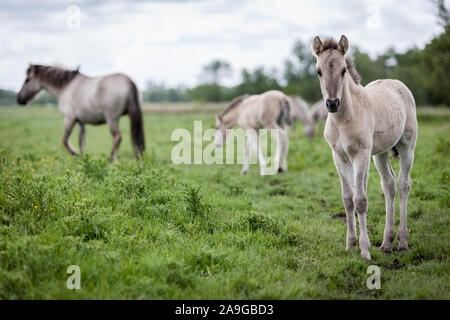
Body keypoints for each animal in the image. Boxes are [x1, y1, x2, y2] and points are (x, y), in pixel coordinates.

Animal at [16, 64, 144, 160]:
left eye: (27, 80)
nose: (19, 99)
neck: (66, 87)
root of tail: (127, 80)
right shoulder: (81, 122)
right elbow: (81, 142)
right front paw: (83, 159)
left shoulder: (69, 119)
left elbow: (65, 140)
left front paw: (75, 154)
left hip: (112, 119)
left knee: (117, 138)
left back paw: (112, 159)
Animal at [312, 35, 418, 260]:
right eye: (318, 71)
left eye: (344, 70)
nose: (332, 103)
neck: (342, 119)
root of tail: (396, 82)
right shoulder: (339, 157)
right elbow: (347, 199)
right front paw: (350, 244)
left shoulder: (360, 154)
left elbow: (360, 199)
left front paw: (364, 250)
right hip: (380, 153)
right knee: (389, 185)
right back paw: (386, 243)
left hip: (407, 147)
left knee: (403, 184)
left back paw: (402, 241)